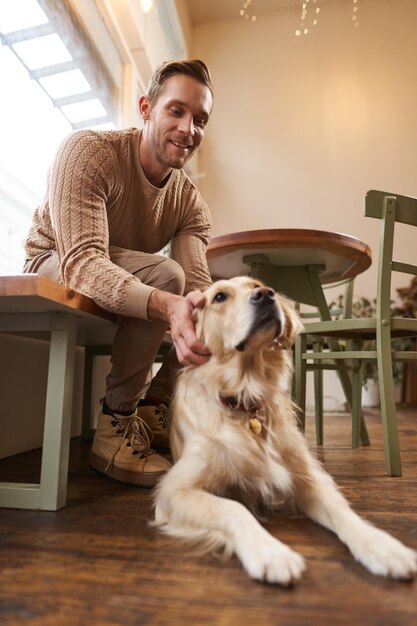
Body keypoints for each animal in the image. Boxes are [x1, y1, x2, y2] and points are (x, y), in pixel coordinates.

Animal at [154, 276, 416, 584]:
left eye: (257, 284)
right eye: (219, 297)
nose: (266, 295)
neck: (246, 400)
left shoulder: (309, 478)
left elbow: (342, 511)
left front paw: (382, 546)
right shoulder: (174, 490)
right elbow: (234, 508)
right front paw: (271, 553)